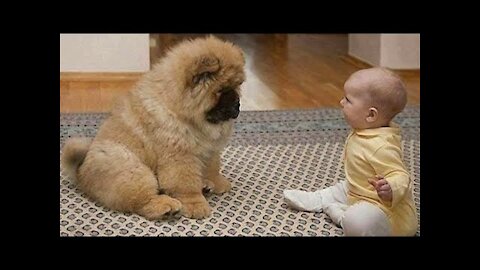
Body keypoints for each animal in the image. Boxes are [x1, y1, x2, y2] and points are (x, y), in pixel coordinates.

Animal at [60, 35, 246, 219]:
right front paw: (196, 205)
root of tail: (80, 173)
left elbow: (212, 167)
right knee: (142, 201)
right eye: (222, 91)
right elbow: (185, 184)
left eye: (237, 87)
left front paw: (217, 182)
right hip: (133, 169)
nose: (237, 105)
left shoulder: (210, 149)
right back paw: (167, 206)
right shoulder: (180, 156)